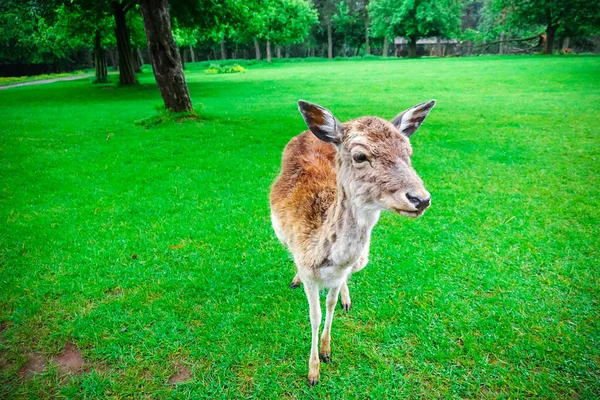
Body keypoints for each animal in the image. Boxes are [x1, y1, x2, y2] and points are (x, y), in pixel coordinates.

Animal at [270, 99, 434, 384]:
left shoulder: (340, 272)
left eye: (409, 152)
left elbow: (331, 304)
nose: (420, 199)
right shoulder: (308, 269)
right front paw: (313, 371)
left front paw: (327, 351)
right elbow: (314, 315)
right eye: (360, 156)